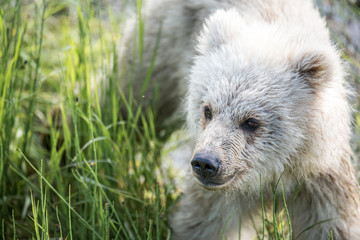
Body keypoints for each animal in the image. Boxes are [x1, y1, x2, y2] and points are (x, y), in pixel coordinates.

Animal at [119, 0, 360, 239]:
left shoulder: (321, 183)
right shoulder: (217, 196)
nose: (205, 163)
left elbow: (332, 227)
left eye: (251, 121)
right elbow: (203, 224)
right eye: (207, 110)